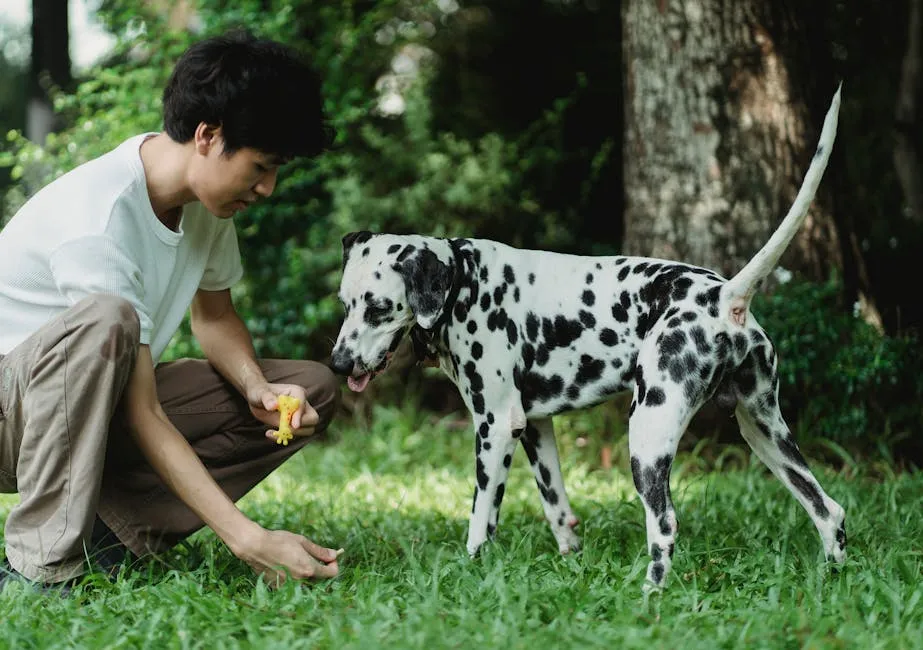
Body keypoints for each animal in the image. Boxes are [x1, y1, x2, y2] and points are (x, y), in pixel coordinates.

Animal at [328, 85, 848, 588]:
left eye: (378, 308)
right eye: (344, 303)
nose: (337, 364)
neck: (464, 281)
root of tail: (724, 295)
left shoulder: (494, 428)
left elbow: (481, 519)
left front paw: (471, 567)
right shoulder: (534, 428)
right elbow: (556, 506)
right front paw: (570, 561)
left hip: (648, 439)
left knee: (665, 526)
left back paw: (650, 594)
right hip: (764, 433)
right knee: (829, 510)